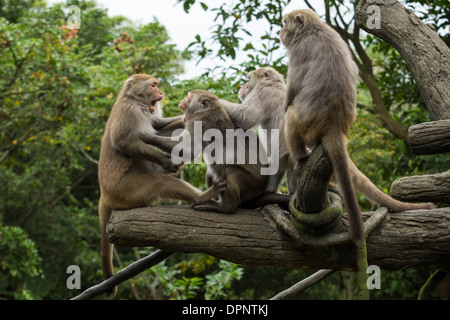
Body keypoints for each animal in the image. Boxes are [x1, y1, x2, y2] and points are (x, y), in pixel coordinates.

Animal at [98, 74, 225, 298]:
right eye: (153, 85)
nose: (161, 92)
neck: (136, 101)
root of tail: (105, 194)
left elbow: (159, 125)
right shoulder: (129, 112)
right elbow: (124, 141)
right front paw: (165, 159)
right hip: (127, 191)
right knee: (160, 182)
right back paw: (200, 196)